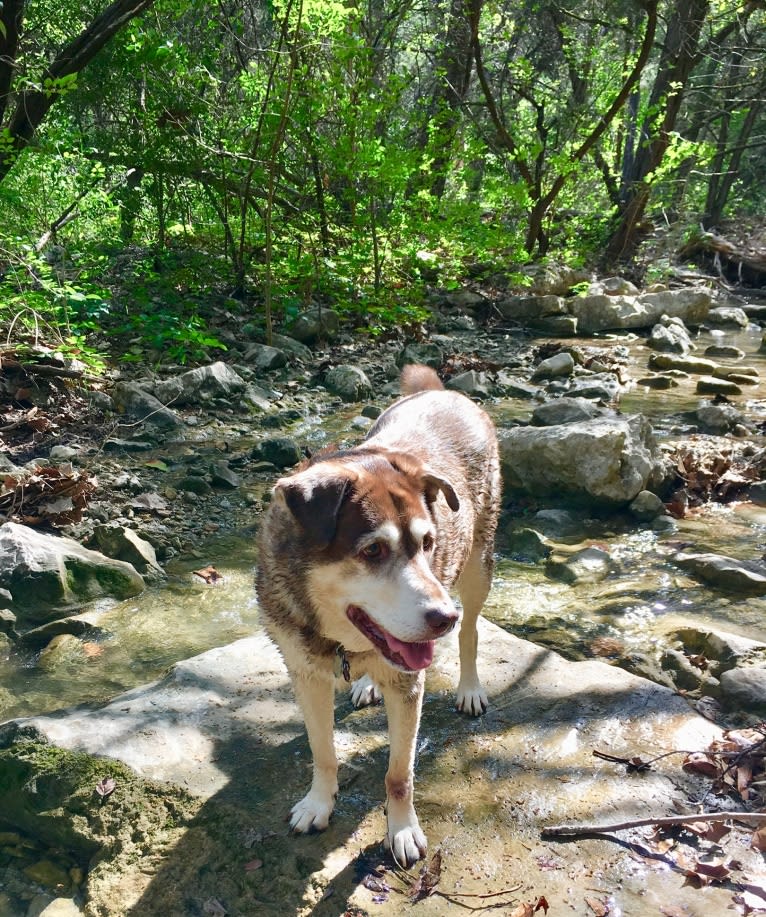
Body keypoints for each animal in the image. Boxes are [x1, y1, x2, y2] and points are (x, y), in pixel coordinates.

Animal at [255, 362, 500, 864]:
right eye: (372, 550)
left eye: (428, 543)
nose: (442, 617)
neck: (339, 638)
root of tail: (444, 393)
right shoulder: (304, 672)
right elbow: (322, 750)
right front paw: (318, 803)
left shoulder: (408, 686)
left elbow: (398, 773)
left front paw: (401, 830)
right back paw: (367, 682)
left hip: (477, 566)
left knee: (471, 632)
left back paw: (468, 686)